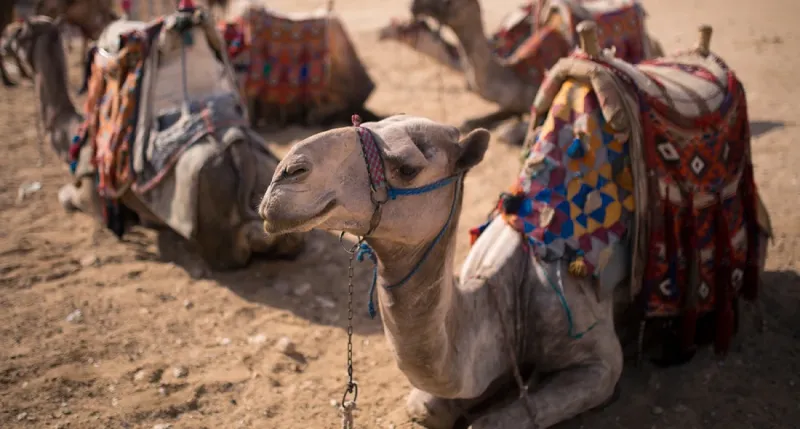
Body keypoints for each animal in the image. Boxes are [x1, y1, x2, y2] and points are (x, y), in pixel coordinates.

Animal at [14, 13, 305, 270]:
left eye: (16, 35)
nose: (6, 42)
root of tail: (240, 149)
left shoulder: (94, 195)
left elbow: (67, 197)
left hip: (220, 236)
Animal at [258, 24, 773, 428]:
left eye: (406, 167)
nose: (285, 175)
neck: (507, 290)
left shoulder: (597, 360)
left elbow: (496, 420)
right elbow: (426, 405)